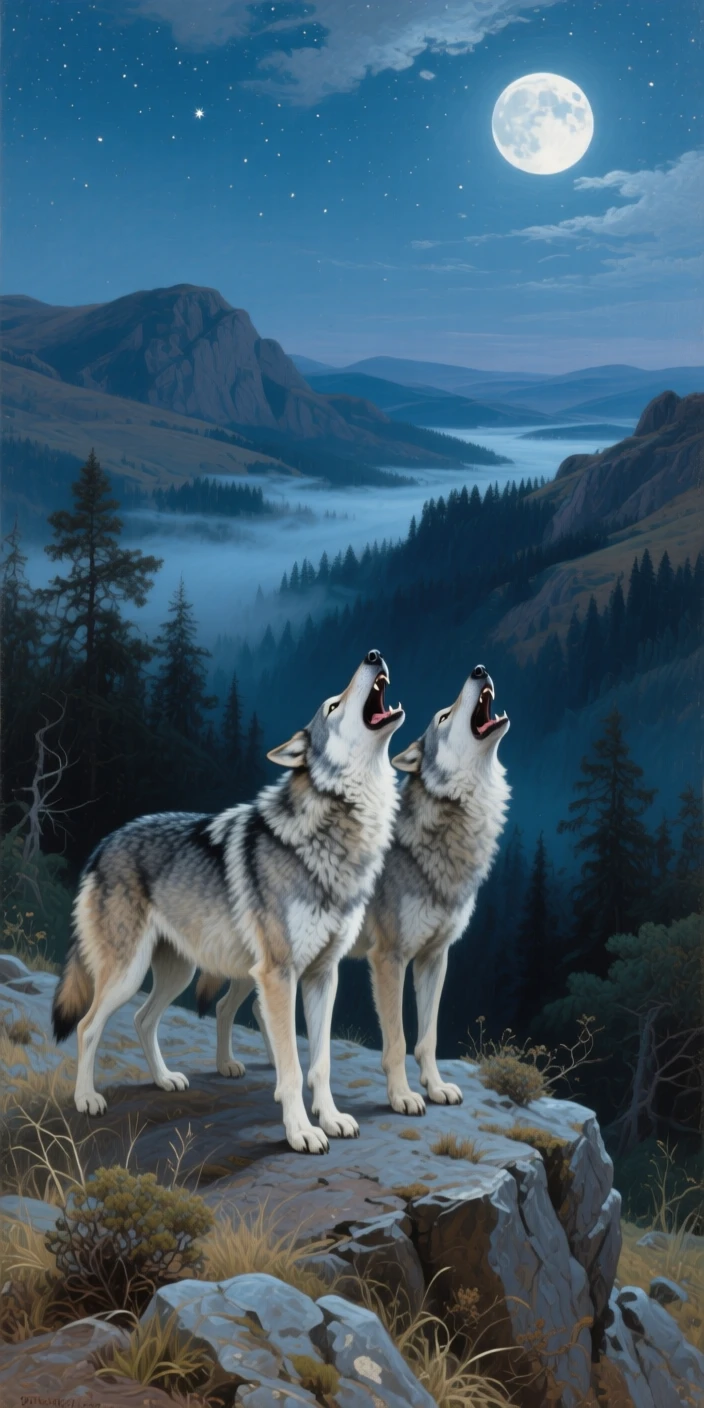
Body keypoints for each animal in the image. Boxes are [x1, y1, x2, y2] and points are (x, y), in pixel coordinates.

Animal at [52, 650, 404, 1153]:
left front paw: (332, 1118)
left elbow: (320, 1062)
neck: (335, 837)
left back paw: (164, 1080)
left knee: (141, 1019)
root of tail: (104, 844)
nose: (373, 655)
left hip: (176, 973)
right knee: (87, 1026)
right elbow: (291, 1067)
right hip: (127, 972)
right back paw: (86, 1099)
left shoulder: (323, 975)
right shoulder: (278, 975)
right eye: (333, 706)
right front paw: (301, 1132)